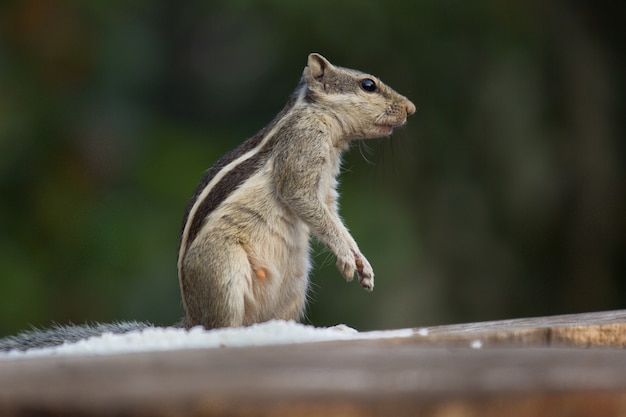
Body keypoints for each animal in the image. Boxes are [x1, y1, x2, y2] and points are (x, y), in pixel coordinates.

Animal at [0, 52, 414, 352]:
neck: (320, 118)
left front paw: (360, 261)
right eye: (368, 84)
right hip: (222, 270)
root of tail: (190, 317)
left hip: (294, 285)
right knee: (221, 326)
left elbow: (333, 217)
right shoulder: (301, 155)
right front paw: (346, 258)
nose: (411, 109)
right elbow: (308, 205)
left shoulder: (327, 186)